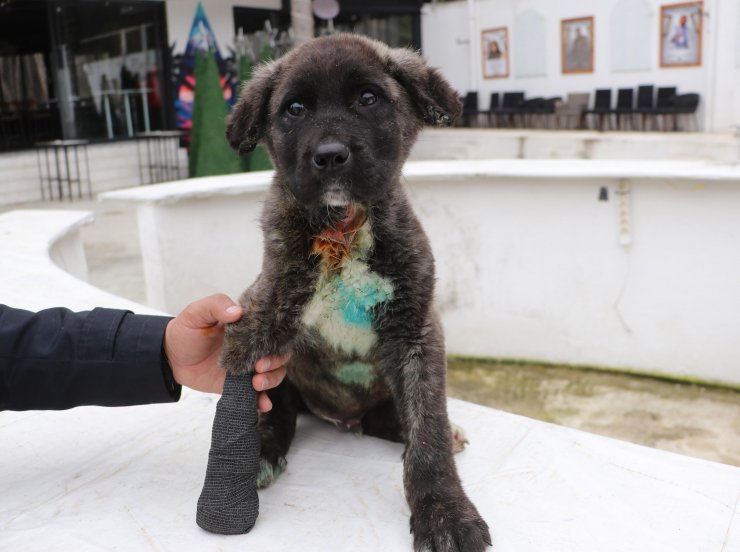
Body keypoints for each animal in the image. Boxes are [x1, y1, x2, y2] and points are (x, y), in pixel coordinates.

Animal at [223, 34, 494, 552]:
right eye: (294, 109)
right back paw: (266, 450)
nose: (330, 155)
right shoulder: (259, 317)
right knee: (283, 412)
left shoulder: (416, 332)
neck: (343, 227)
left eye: (369, 99)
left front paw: (444, 513)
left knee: (396, 422)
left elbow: (426, 434)